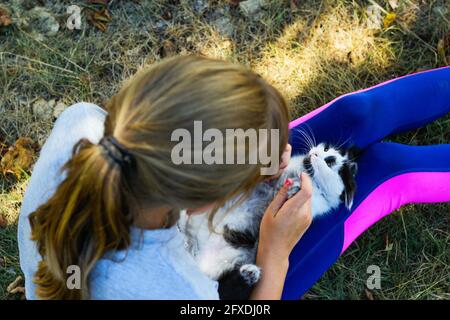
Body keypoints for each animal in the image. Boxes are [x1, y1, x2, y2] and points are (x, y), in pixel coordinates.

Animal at [179, 143, 358, 300]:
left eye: (330, 161)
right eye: (325, 148)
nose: (314, 153)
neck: (303, 173)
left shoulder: (313, 203)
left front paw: (294, 189)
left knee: (226, 290)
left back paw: (249, 273)